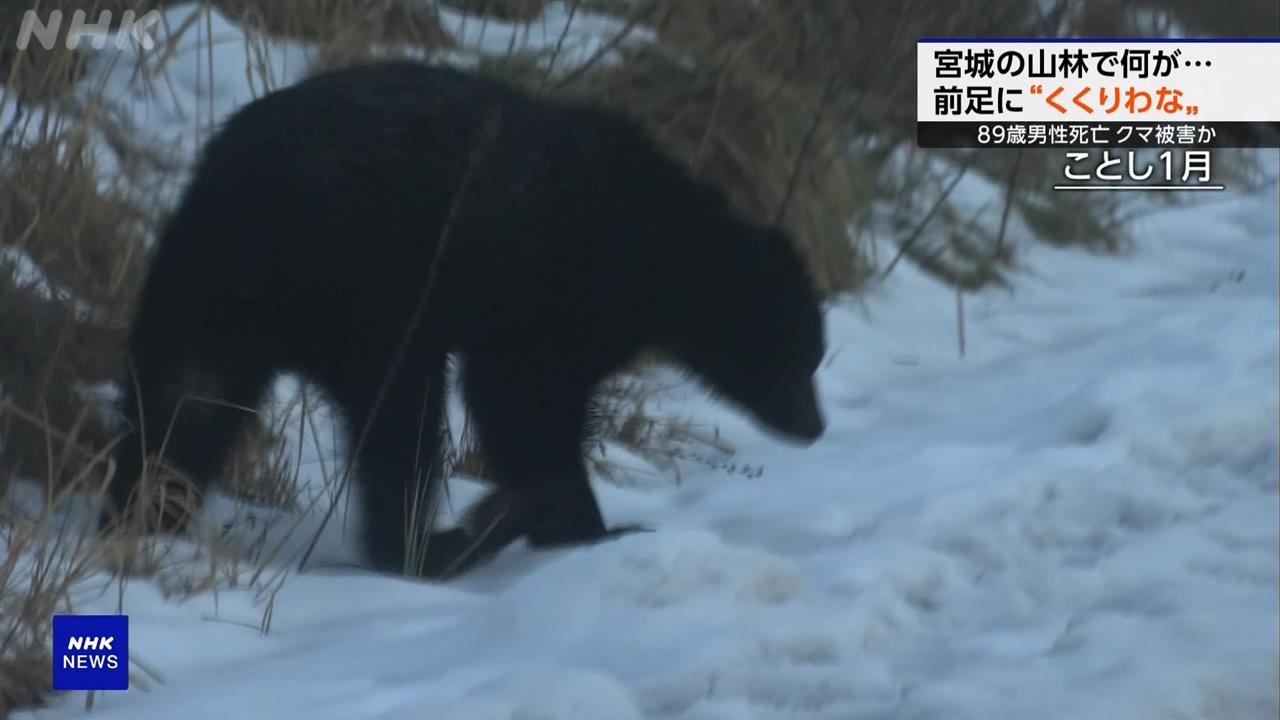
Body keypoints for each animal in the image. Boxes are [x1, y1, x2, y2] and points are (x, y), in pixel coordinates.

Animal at [101, 61, 827, 578]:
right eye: (802, 355)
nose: (814, 424)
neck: (667, 257)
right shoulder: (558, 285)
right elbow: (523, 399)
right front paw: (585, 521)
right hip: (367, 283)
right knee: (402, 416)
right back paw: (442, 542)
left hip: (208, 289)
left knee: (184, 399)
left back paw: (144, 517)